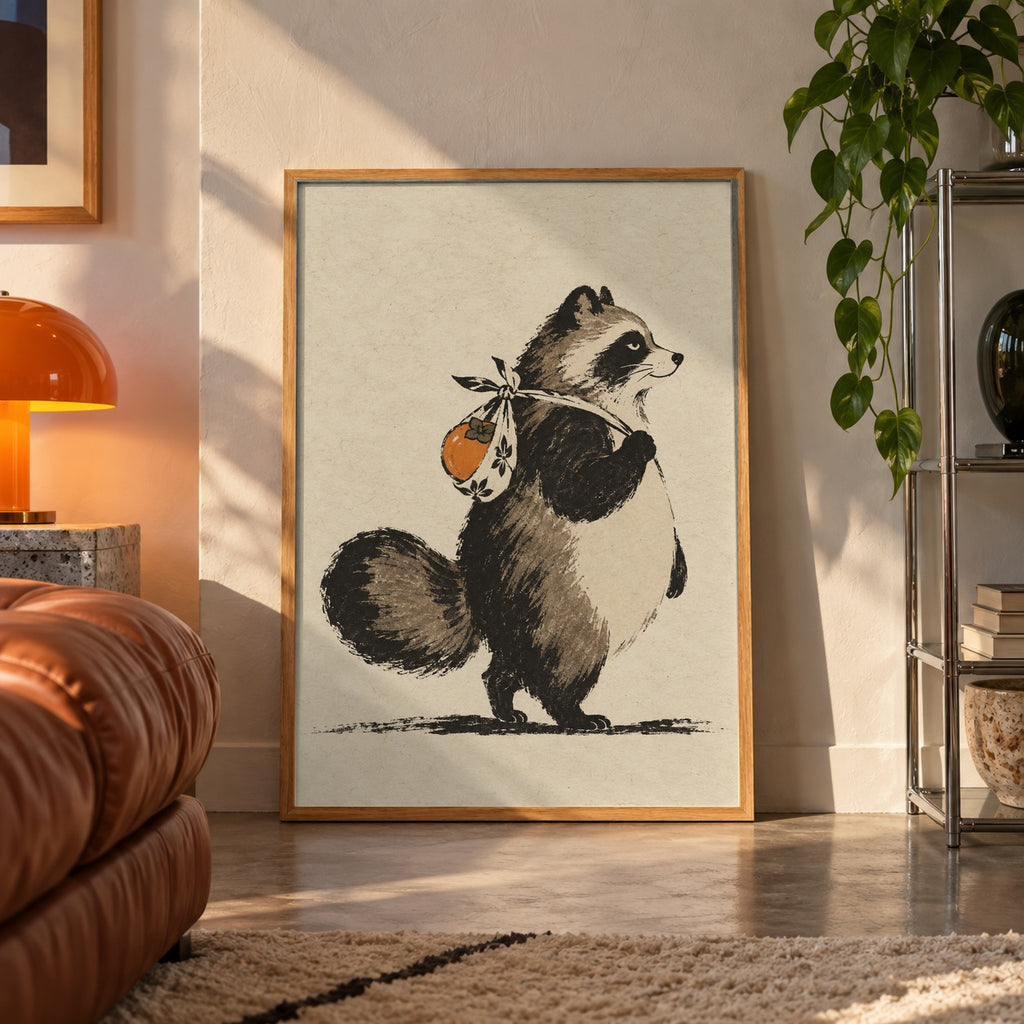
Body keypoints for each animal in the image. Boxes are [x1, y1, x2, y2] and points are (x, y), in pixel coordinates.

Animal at [321, 285, 687, 730]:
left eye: (649, 337)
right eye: (633, 342)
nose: (678, 356)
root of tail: (481, 603)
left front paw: (680, 567)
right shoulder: (559, 432)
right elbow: (579, 491)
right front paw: (638, 445)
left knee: (504, 669)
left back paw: (504, 701)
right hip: (562, 612)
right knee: (562, 670)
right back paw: (572, 713)